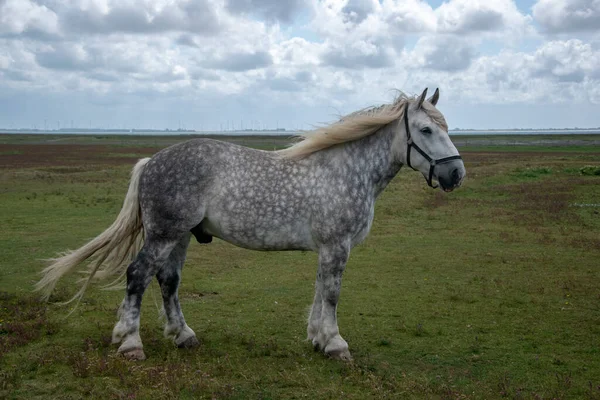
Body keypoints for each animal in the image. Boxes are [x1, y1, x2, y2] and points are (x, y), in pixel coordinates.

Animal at [36, 89, 468, 360]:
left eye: (448, 128)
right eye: (426, 130)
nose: (456, 174)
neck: (345, 171)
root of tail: (152, 161)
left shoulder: (327, 249)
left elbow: (319, 290)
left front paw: (317, 339)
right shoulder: (337, 246)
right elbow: (331, 294)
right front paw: (335, 344)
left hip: (179, 237)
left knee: (168, 281)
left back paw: (183, 336)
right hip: (163, 234)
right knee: (138, 275)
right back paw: (130, 343)